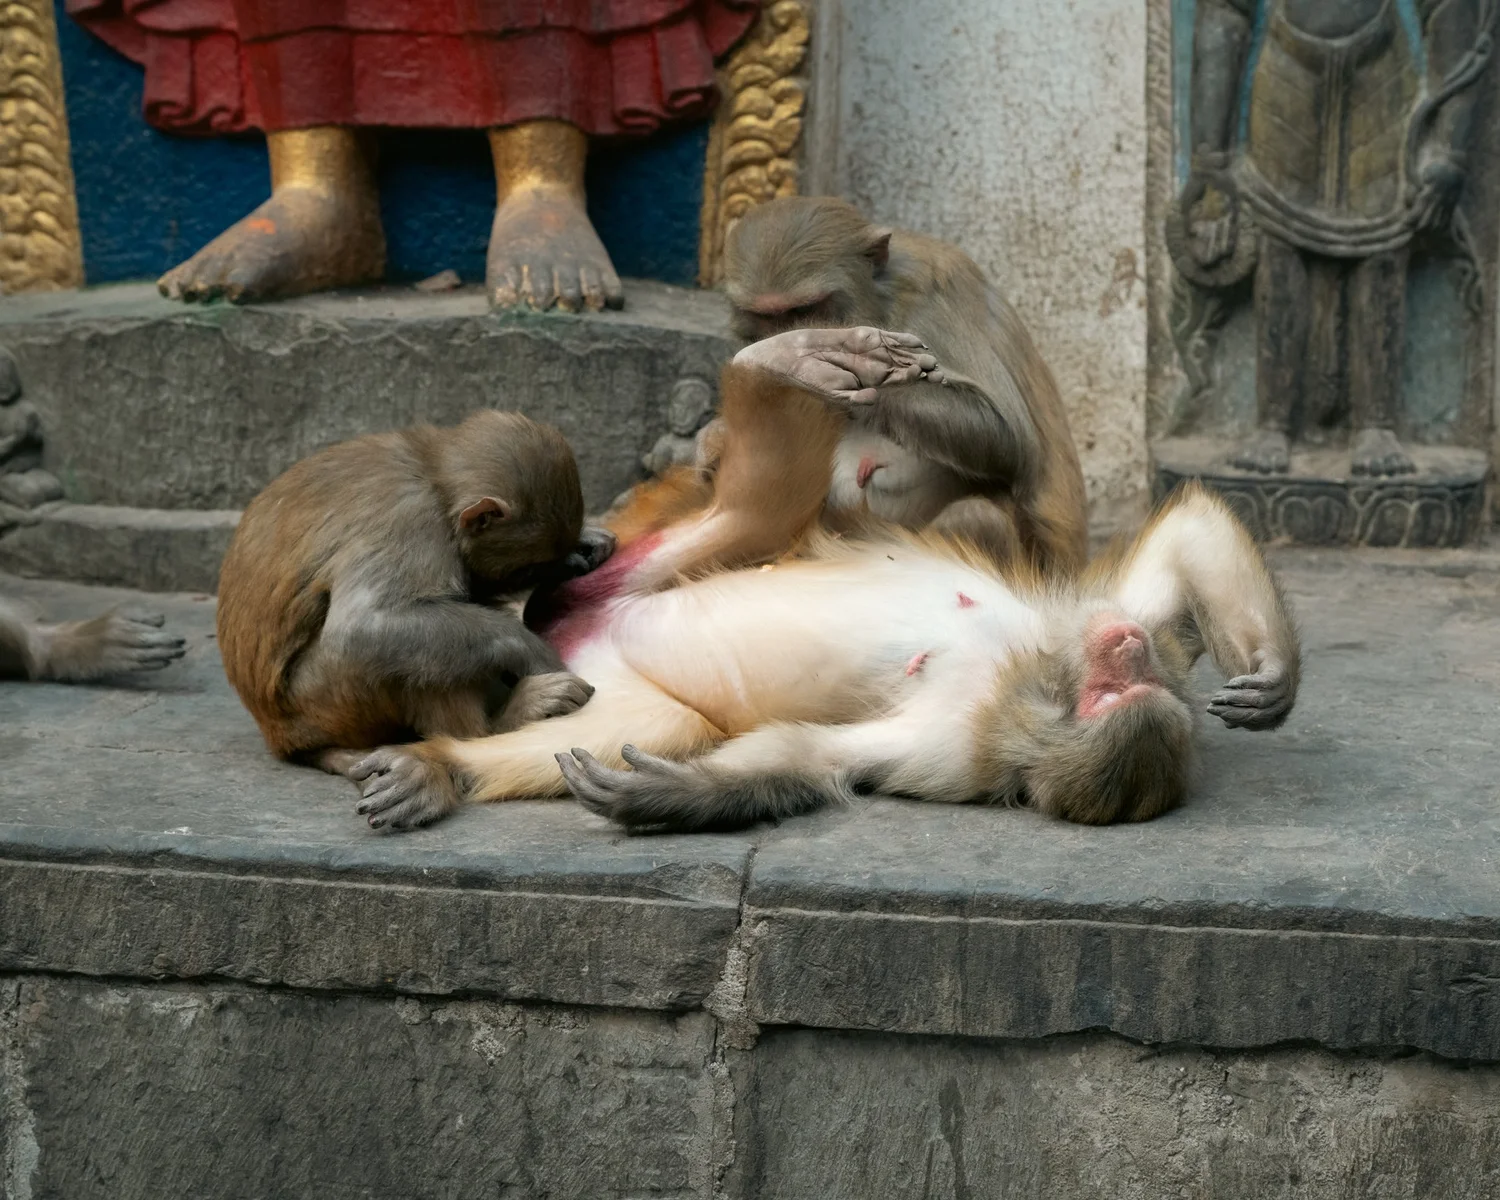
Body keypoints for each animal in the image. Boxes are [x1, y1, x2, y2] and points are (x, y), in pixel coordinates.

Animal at [216, 409, 616, 776]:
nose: (546, 569)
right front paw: (530, 650)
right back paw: (497, 725)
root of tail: (280, 736)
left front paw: (583, 549)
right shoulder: (412, 519)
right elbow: (362, 628)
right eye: (526, 569)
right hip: (326, 701)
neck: (432, 474)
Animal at [341, 327, 1299, 833]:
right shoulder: (1085, 619)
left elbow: (810, 755)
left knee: (644, 721)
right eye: (1118, 674)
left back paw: (448, 767)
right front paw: (1274, 677)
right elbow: (1179, 545)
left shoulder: (954, 747)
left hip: (606, 660)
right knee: (752, 513)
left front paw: (675, 793)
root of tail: (572, 624)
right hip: (650, 556)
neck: (1024, 673)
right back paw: (789, 364)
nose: (1127, 645)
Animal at [706, 194, 1089, 575]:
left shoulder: (932, 302)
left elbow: (1006, 437)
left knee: (975, 515)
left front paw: (814, 370)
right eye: (766, 316)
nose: (784, 336)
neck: (879, 301)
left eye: (805, 310)